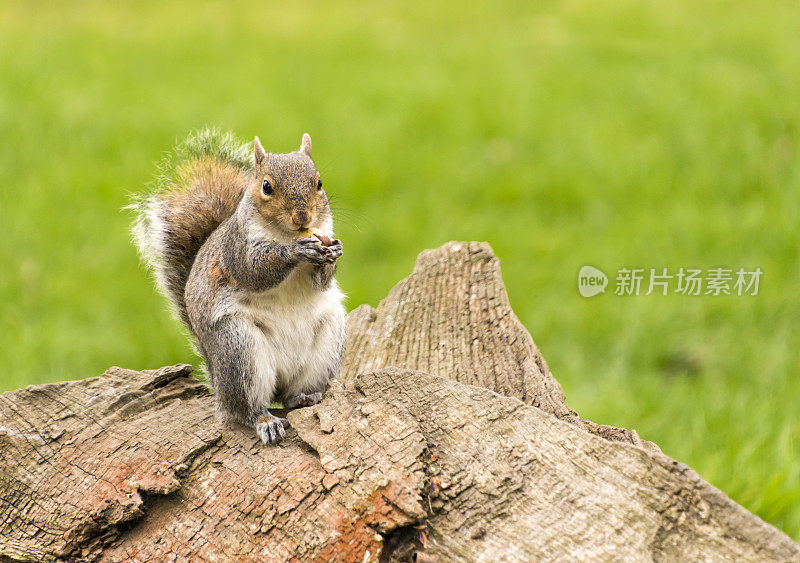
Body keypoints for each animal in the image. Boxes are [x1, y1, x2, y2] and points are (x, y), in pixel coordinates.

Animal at [130, 129, 346, 446]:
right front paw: (295, 251)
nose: (302, 218)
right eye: (267, 187)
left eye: (318, 183)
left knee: (291, 395)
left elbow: (321, 281)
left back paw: (306, 397)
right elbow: (255, 271)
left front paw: (333, 252)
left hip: (328, 340)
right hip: (238, 348)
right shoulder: (237, 247)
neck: (283, 233)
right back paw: (265, 420)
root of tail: (218, 384)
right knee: (245, 407)